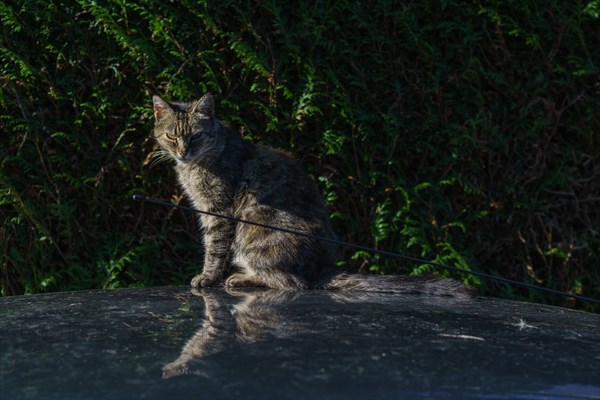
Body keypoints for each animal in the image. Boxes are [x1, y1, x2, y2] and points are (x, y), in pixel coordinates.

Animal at [151, 92, 474, 296]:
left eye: (196, 136)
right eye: (171, 136)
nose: (183, 151)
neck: (197, 165)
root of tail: (323, 269)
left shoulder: (219, 211)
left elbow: (214, 248)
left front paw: (208, 277)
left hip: (254, 227)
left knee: (290, 282)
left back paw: (242, 278)